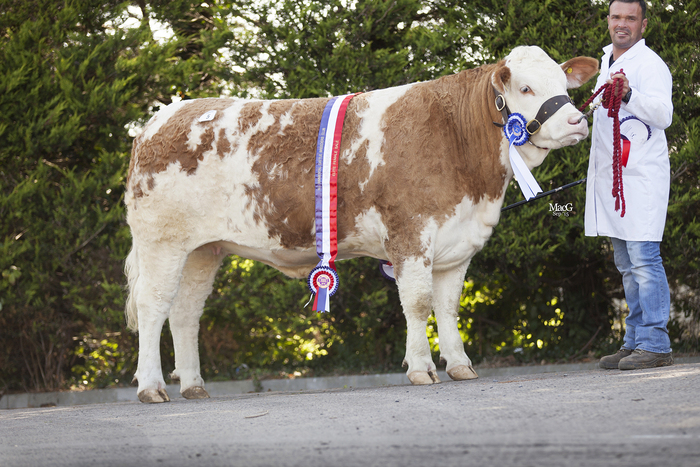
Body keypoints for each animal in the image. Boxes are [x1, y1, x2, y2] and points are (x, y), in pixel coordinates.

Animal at [124, 46, 596, 402]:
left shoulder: (456, 244)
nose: (578, 121)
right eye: (526, 87)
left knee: (185, 314)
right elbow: (418, 303)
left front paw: (461, 365)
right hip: (162, 241)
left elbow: (447, 307)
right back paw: (151, 387)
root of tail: (159, 119)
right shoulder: (411, 234)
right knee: (152, 306)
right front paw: (421, 368)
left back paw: (193, 385)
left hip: (204, 249)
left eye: (563, 84)